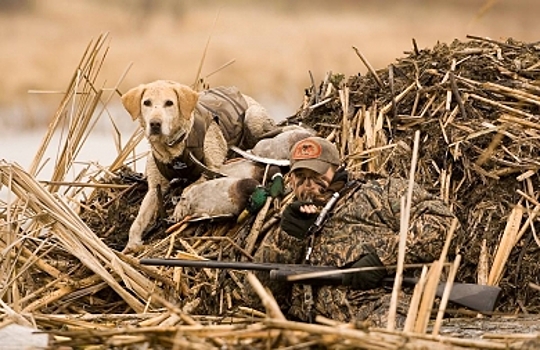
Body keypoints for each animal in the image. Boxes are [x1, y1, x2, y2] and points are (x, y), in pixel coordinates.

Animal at [121, 80, 276, 252]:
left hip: (252, 117)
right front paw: (131, 244)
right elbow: (139, 220)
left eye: (169, 103)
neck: (173, 149)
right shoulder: (154, 188)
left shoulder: (213, 169)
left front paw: (180, 207)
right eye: (146, 102)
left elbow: (190, 187)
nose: (155, 124)